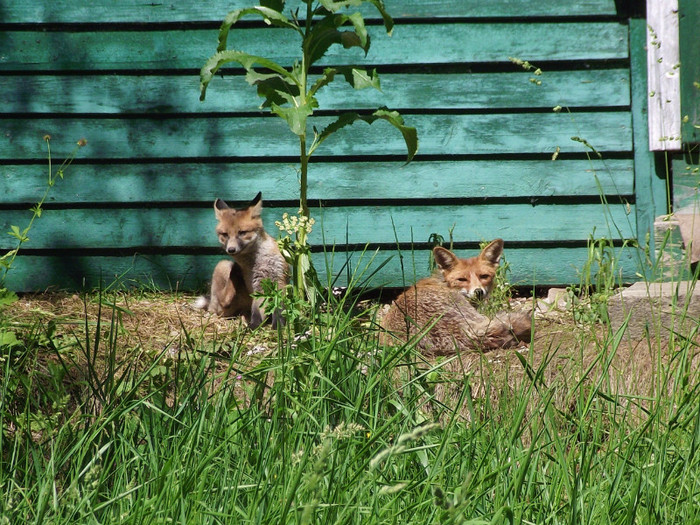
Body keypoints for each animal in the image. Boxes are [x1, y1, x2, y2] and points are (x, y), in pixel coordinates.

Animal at [194, 192, 288, 328]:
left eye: (242, 232)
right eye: (225, 234)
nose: (231, 249)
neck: (259, 261)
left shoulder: (280, 281)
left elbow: (279, 309)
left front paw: (279, 327)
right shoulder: (257, 287)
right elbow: (257, 311)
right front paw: (253, 327)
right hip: (223, 265)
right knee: (222, 302)